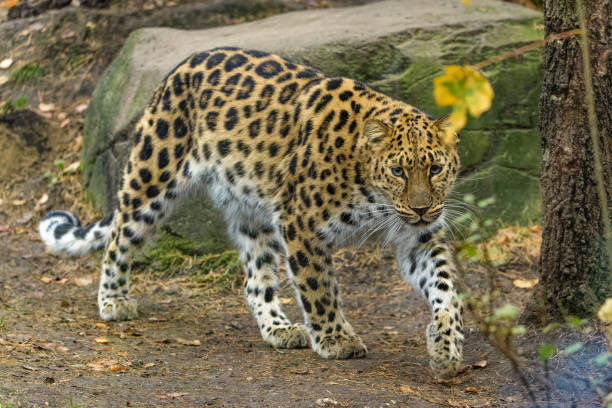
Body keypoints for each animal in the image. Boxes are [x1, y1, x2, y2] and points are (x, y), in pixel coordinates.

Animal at [39, 47, 464, 380]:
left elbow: (447, 290)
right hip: (153, 176)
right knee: (119, 237)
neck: (374, 195)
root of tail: (182, 66)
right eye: (398, 171)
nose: (422, 208)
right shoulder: (300, 223)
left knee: (255, 281)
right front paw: (335, 338)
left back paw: (279, 328)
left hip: (252, 213)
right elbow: (319, 287)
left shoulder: (418, 238)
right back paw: (113, 300)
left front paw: (446, 346)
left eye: (435, 169)